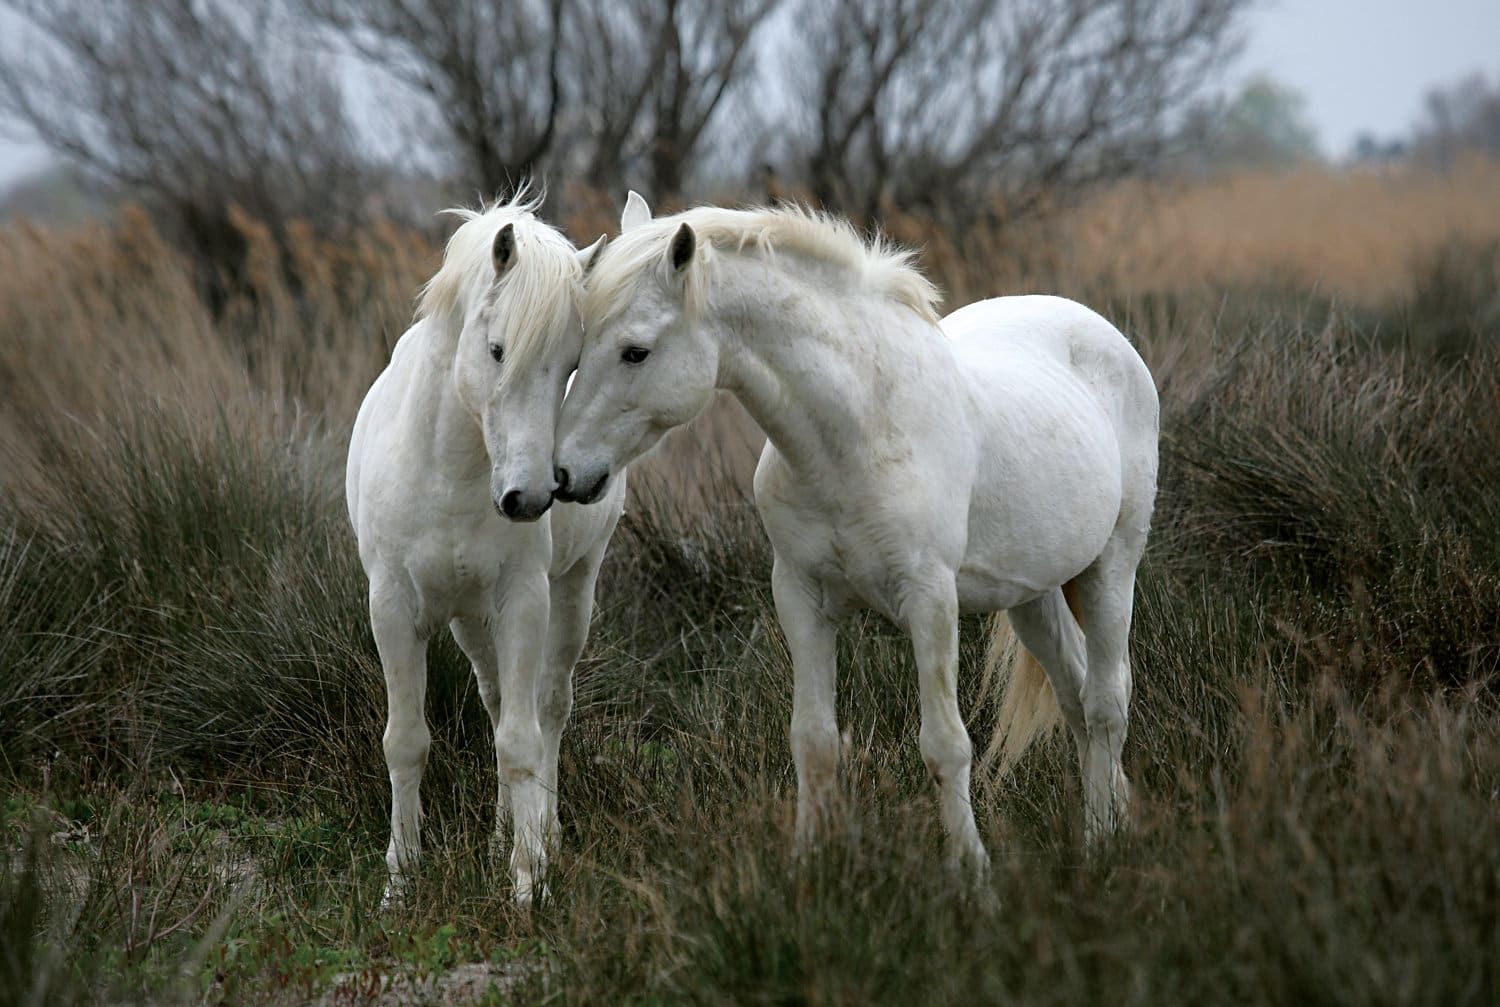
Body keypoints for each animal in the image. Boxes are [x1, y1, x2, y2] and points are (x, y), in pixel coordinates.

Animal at [346, 193, 625, 905]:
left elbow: (522, 741)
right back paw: (501, 835)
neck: (449, 469)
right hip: (471, 620)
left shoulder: (524, 601)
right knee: (499, 701)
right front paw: (400, 879)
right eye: (497, 350)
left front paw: (528, 883)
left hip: (571, 590)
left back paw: (542, 835)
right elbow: (406, 741)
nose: (528, 498)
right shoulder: (393, 609)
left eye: (570, 363)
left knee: (545, 708)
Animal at [554, 193, 1158, 868]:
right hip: (1033, 595)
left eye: (635, 351)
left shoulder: (930, 602)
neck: (860, 430)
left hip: (1112, 568)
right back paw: (1109, 819)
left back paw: (1103, 840)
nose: (564, 473)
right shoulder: (801, 598)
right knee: (1076, 699)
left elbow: (946, 745)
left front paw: (971, 871)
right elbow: (813, 741)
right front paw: (809, 866)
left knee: (1106, 704)